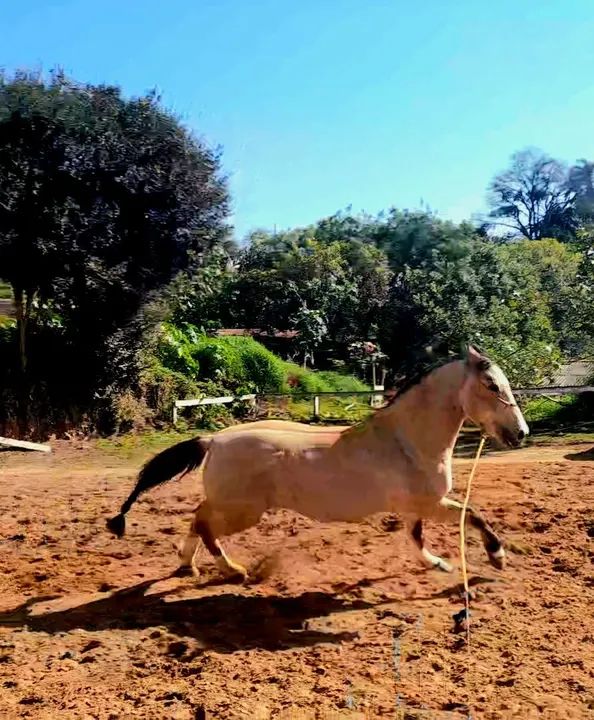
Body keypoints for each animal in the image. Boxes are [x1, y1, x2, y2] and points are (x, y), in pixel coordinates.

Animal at [106, 346, 529, 580]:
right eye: (491, 385)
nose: (520, 433)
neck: (407, 441)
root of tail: (213, 440)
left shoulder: (414, 507)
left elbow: (416, 538)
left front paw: (439, 565)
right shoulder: (430, 503)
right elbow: (473, 515)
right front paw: (498, 558)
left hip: (233, 506)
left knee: (196, 518)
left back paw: (188, 566)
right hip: (242, 511)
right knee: (204, 523)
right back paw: (234, 570)